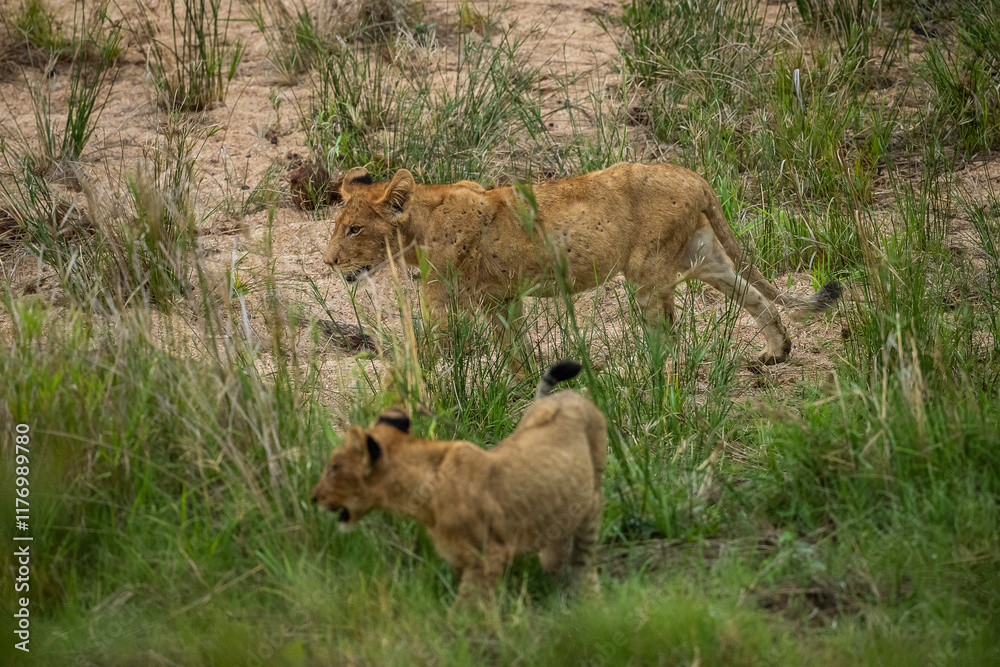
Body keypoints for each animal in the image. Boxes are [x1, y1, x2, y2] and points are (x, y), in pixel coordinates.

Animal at [310, 360, 607, 606]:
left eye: (333, 467)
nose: (313, 497)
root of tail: (568, 395)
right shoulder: (464, 562)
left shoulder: (489, 557)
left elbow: (467, 611)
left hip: (592, 497)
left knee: (584, 555)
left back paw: (591, 601)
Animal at [322, 162, 841, 365]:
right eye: (339, 225)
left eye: (354, 230)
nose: (327, 262)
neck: (420, 222)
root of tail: (694, 177)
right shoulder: (501, 300)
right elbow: (512, 349)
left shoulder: (441, 299)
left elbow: (431, 347)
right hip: (704, 257)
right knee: (755, 297)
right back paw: (776, 352)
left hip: (648, 272)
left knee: (668, 334)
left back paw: (651, 375)